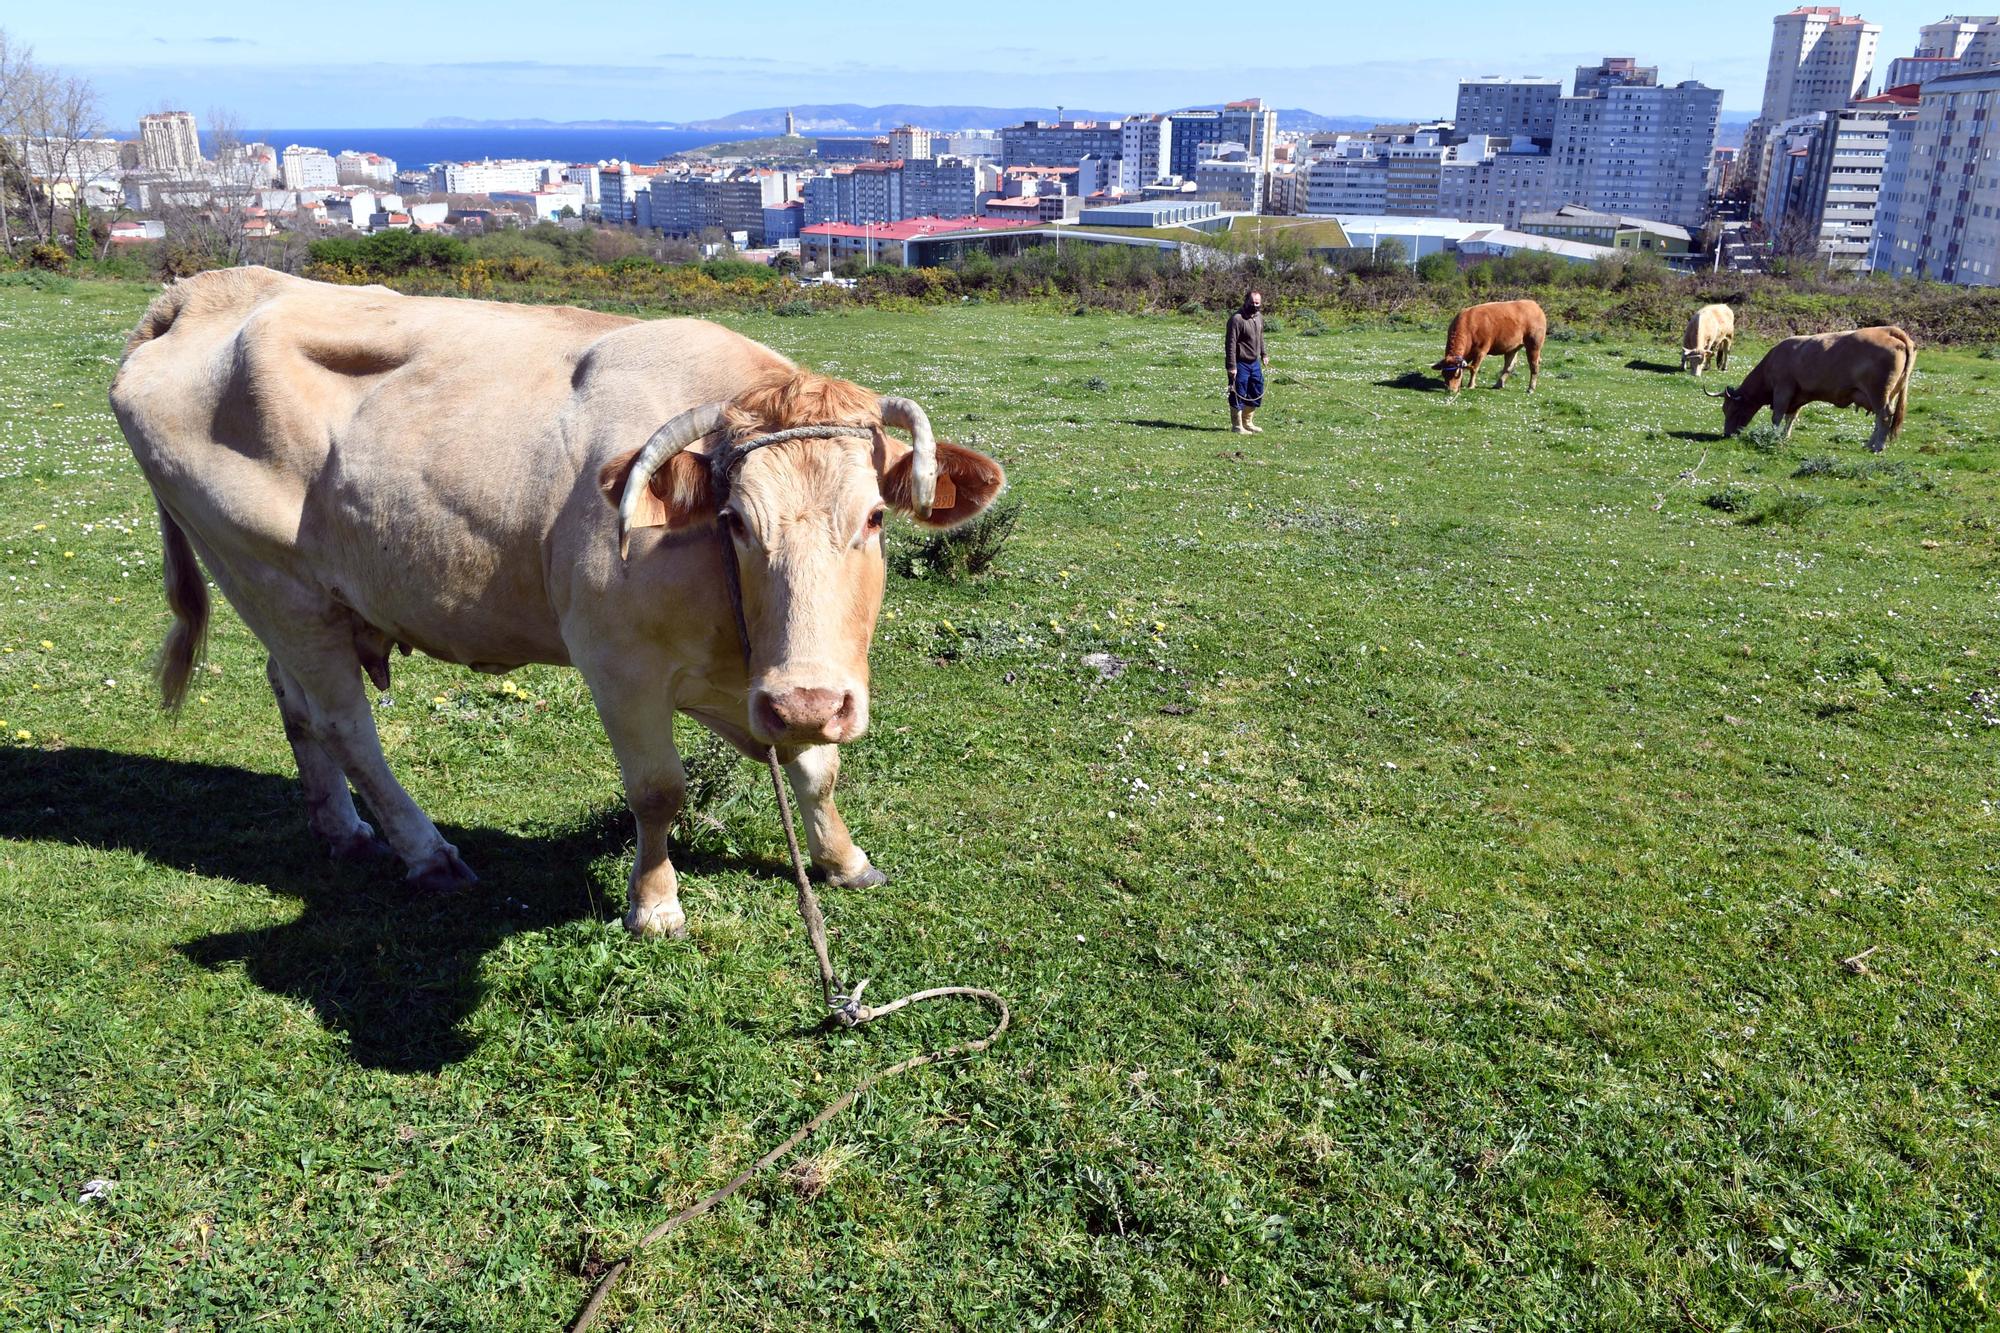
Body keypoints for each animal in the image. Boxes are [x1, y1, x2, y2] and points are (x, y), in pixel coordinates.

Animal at [117, 264, 1008, 932]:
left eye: (874, 517)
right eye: (735, 521)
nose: (807, 700)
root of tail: (202, 294)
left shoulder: (764, 682)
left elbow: (817, 767)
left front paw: (844, 859)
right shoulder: (617, 662)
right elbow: (659, 791)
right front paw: (655, 907)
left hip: (291, 598)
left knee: (294, 700)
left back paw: (343, 831)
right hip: (270, 580)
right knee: (345, 725)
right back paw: (427, 853)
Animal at [1712, 322, 1912, 448]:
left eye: (1732, 409)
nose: (1727, 434)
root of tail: (1889, 331)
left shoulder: (1783, 390)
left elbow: (1777, 416)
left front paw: (1773, 436)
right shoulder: (1798, 395)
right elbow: (1791, 417)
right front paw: (1785, 436)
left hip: (1878, 393)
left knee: (1884, 417)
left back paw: (1877, 446)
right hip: (1888, 395)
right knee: (1880, 419)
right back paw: (1869, 444)